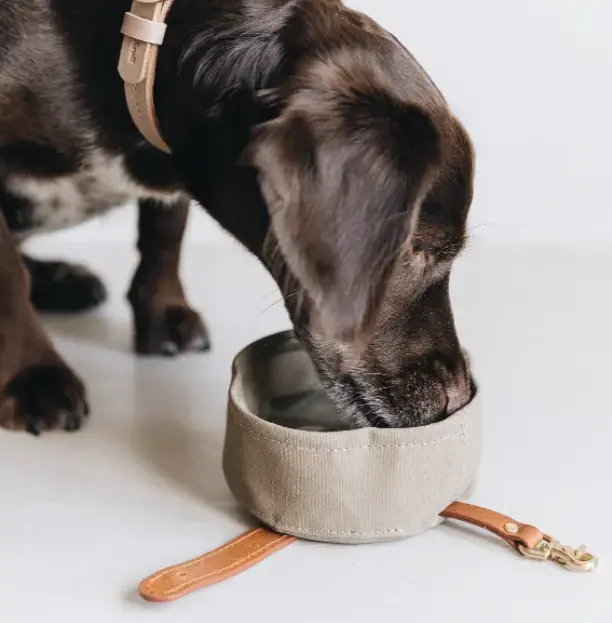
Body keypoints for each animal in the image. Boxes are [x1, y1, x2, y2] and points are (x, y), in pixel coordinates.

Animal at [0, 0, 476, 436]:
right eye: (416, 248)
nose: (459, 397)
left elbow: (166, 230)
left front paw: (163, 310)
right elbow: (10, 281)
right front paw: (34, 375)